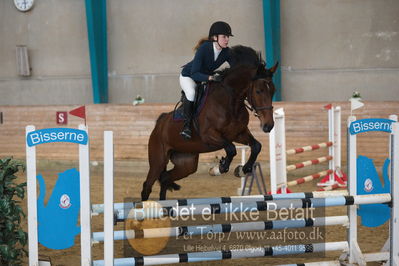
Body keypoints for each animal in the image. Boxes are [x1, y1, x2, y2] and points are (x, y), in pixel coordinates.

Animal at [141, 45, 278, 200]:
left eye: (273, 91)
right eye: (258, 91)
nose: (269, 125)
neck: (230, 102)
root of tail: (159, 125)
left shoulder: (238, 133)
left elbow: (256, 146)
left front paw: (243, 170)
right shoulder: (210, 135)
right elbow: (231, 148)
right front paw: (219, 168)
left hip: (186, 163)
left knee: (165, 178)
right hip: (158, 160)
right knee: (147, 185)